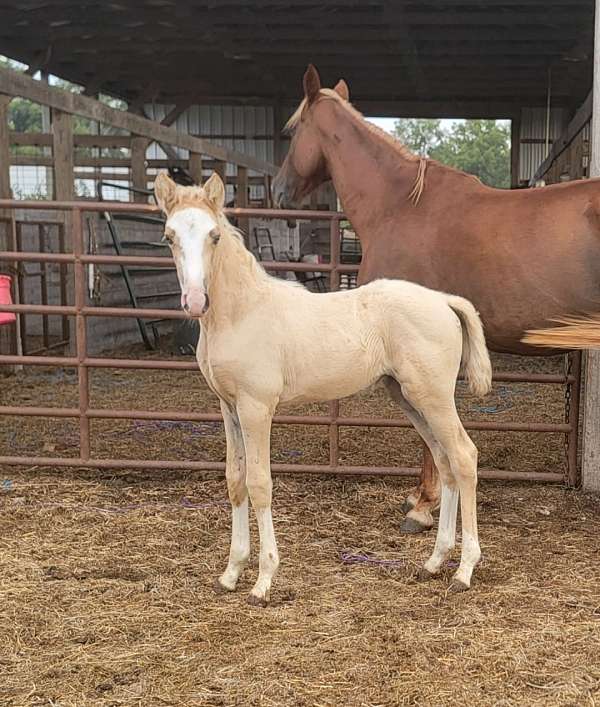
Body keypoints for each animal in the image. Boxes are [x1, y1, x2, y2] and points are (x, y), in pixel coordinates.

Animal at [153, 170, 492, 605]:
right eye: (169, 236)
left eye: (213, 236)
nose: (195, 302)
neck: (241, 313)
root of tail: (444, 300)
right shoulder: (228, 407)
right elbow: (235, 480)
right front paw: (230, 573)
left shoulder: (256, 407)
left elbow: (259, 483)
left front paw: (263, 580)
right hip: (408, 397)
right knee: (445, 460)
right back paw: (434, 562)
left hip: (432, 396)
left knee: (464, 456)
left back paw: (464, 571)